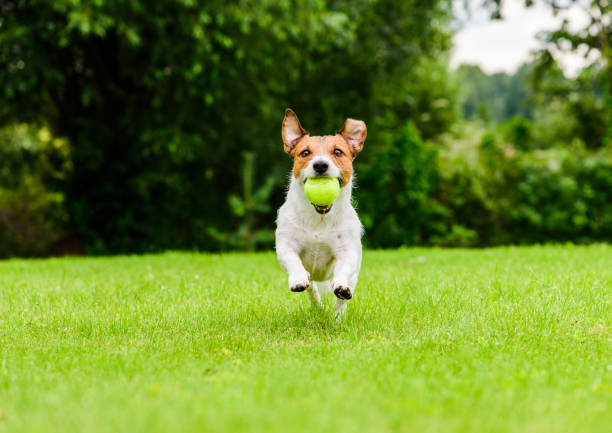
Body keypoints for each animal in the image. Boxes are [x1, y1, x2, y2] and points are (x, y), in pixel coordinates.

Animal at [274, 108, 366, 318]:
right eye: (305, 152)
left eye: (338, 152)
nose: (320, 165)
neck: (319, 217)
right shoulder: (285, 244)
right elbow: (292, 260)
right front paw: (298, 278)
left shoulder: (347, 250)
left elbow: (343, 270)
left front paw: (341, 288)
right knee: (312, 288)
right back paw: (317, 305)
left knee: (342, 299)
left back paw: (338, 316)